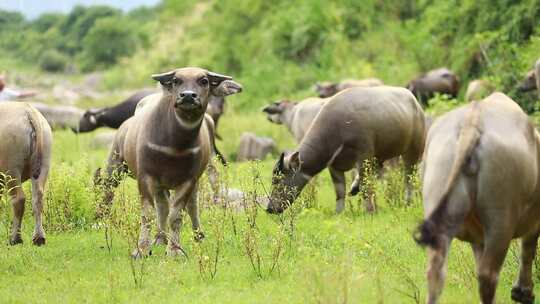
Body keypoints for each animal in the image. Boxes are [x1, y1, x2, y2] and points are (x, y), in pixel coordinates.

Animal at [0, 103, 52, 246]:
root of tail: (29, 111)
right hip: (44, 161)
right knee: (38, 197)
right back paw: (39, 238)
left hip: (11, 168)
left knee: (19, 199)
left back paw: (15, 239)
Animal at [99, 67, 243, 258]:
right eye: (176, 80)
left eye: (204, 81)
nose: (188, 96)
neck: (175, 145)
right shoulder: (145, 177)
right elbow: (148, 214)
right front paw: (141, 249)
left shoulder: (188, 180)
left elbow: (176, 215)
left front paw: (174, 250)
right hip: (115, 166)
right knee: (115, 192)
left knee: (188, 205)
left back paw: (193, 236)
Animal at [266, 85, 426, 214]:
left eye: (279, 180)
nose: (269, 208)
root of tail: (413, 100)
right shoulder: (334, 165)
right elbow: (340, 191)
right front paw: (338, 212)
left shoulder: (364, 157)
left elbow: (367, 187)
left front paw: (370, 211)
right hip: (378, 156)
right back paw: (354, 188)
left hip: (413, 150)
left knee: (409, 176)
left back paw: (408, 202)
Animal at [416, 92, 540, 304]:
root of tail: (471, 124)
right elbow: (528, 247)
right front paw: (523, 292)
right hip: (501, 219)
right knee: (488, 274)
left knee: (435, 269)